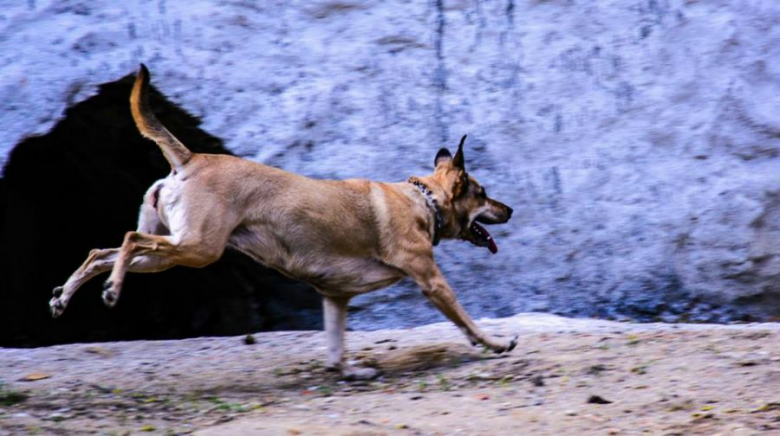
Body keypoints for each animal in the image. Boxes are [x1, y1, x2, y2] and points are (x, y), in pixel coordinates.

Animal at [51, 63, 520, 378]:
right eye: (483, 194)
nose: (511, 210)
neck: (425, 200)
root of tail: (189, 159)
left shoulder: (335, 297)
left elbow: (335, 348)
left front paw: (350, 371)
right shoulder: (431, 280)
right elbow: (468, 322)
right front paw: (497, 342)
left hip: (171, 253)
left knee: (101, 252)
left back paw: (65, 296)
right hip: (197, 248)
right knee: (128, 240)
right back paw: (111, 291)